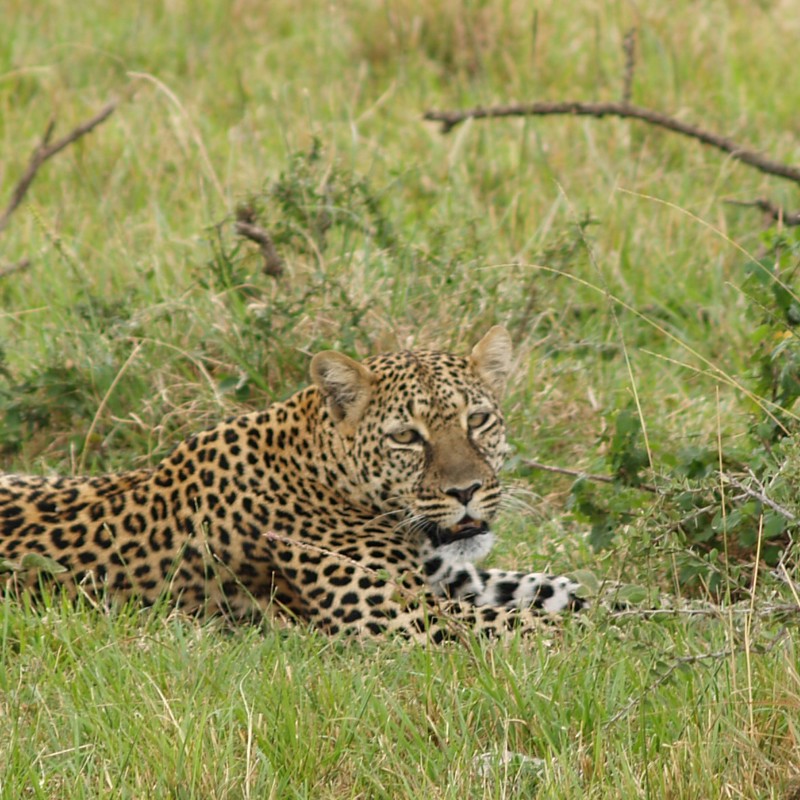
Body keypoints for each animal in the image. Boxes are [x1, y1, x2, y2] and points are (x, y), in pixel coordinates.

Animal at [0, 326, 583, 641]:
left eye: (477, 421)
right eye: (406, 437)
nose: (465, 491)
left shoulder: (444, 577)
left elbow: (550, 590)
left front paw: (595, 604)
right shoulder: (398, 617)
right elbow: (530, 624)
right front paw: (602, 644)